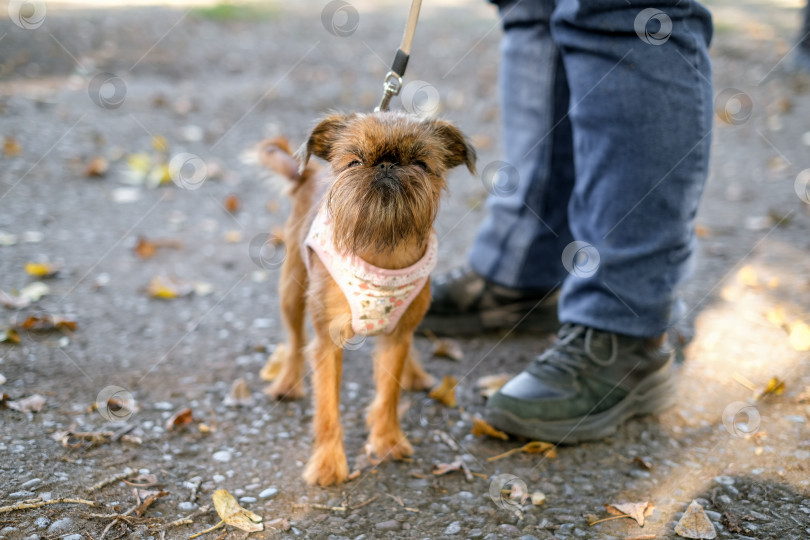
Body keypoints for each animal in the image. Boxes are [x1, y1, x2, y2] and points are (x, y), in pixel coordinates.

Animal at [258, 112, 474, 488]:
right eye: (354, 162)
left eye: (421, 163)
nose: (387, 163)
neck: (381, 243)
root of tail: (310, 174)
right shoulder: (327, 344)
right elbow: (327, 409)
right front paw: (329, 464)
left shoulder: (395, 337)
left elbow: (389, 393)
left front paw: (387, 442)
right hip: (292, 287)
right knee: (295, 337)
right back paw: (287, 382)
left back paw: (414, 372)